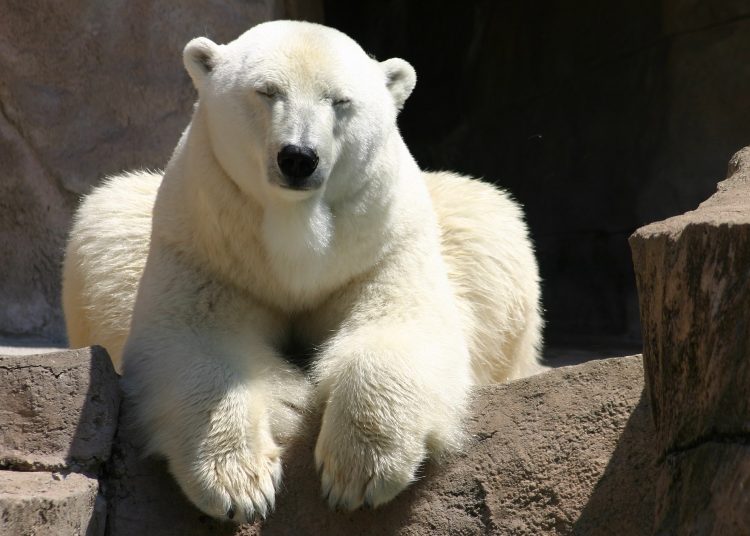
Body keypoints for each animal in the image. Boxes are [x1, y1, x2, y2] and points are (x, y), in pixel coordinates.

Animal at [61, 21, 544, 524]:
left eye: (340, 100)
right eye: (266, 91)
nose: (298, 156)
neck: (293, 226)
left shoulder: (381, 244)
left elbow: (401, 323)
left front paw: (359, 472)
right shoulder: (205, 247)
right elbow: (195, 340)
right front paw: (238, 485)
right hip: (120, 231)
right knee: (108, 218)